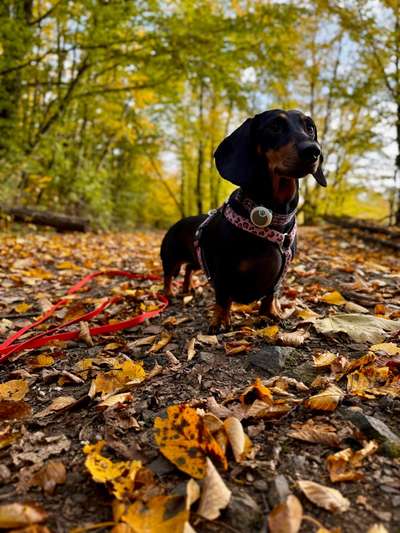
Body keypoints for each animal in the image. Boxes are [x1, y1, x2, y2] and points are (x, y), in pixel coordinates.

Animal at [161, 108, 326, 330]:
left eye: (310, 127)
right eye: (274, 126)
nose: (313, 151)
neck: (271, 214)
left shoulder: (278, 275)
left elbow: (270, 294)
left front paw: (271, 313)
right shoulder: (222, 269)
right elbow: (223, 296)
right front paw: (220, 321)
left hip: (195, 259)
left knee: (188, 268)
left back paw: (187, 288)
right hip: (170, 257)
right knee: (168, 275)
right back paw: (169, 292)